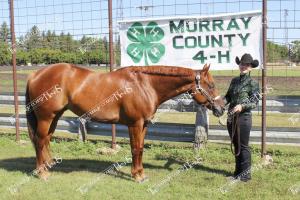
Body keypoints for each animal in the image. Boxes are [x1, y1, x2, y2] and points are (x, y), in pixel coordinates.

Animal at [25, 63, 224, 182]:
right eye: (211, 85)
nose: (222, 108)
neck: (145, 85)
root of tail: (35, 74)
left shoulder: (144, 124)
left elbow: (141, 148)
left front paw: (141, 173)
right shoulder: (135, 124)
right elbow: (135, 148)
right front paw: (137, 176)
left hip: (55, 116)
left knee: (46, 139)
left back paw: (48, 165)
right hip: (46, 117)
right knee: (40, 140)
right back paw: (42, 172)